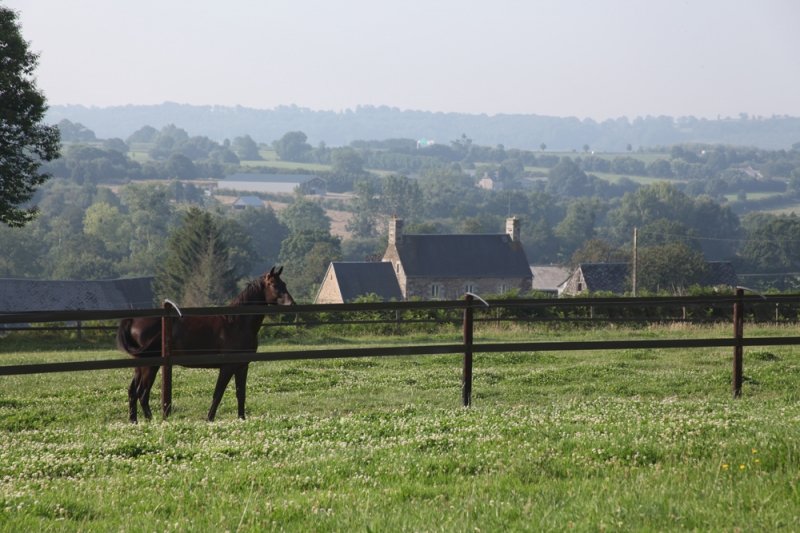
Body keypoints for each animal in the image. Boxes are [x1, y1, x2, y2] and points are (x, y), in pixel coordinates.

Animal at [117, 266, 295, 423]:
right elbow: (218, 393)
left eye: (285, 284)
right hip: (150, 365)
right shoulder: (227, 367)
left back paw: (135, 420)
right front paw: (209, 418)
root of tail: (133, 320)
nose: (291, 305)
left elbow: (241, 393)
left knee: (134, 391)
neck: (236, 322)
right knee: (142, 392)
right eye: (274, 285)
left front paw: (241, 418)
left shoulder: (242, 366)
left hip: (142, 365)